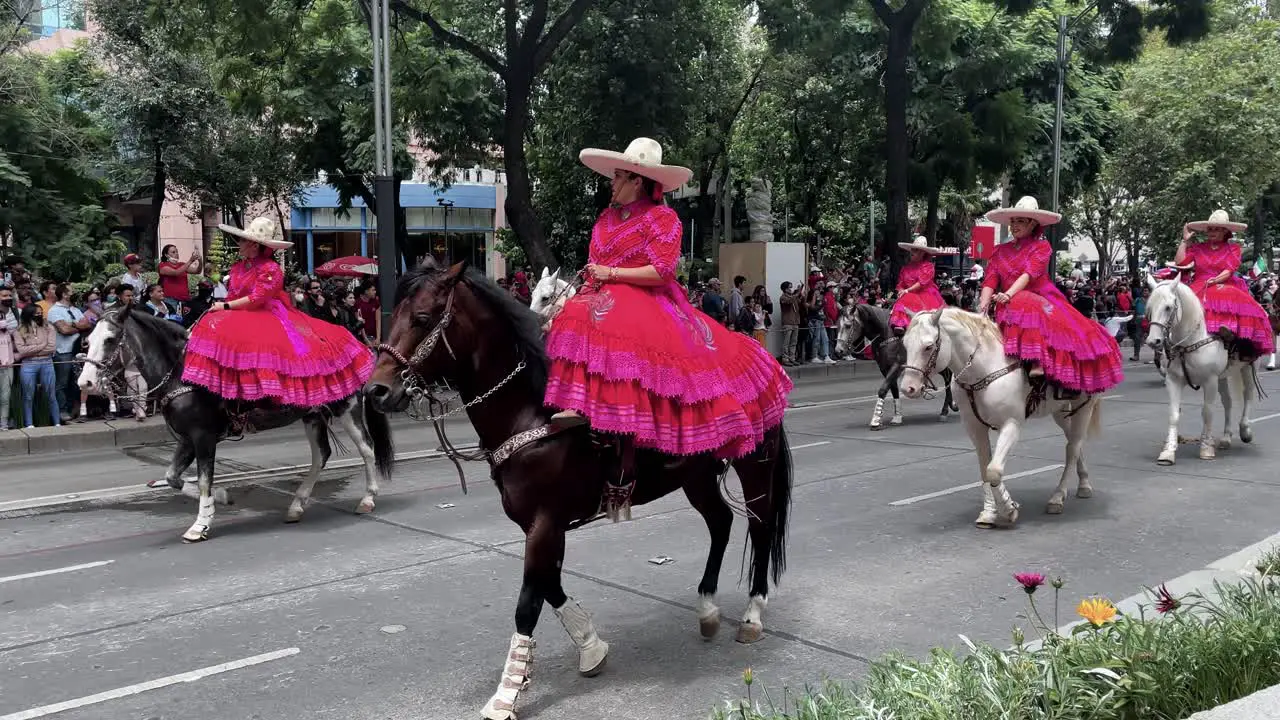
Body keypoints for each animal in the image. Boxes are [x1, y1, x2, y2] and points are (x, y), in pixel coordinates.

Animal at [366, 258, 793, 717]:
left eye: (422, 318)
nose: (376, 390)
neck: (534, 412)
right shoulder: (538, 525)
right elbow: (551, 587)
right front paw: (591, 647)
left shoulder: (546, 522)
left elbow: (528, 603)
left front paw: (506, 695)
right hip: (695, 477)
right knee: (721, 523)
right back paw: (708, 609)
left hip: (755, 466)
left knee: (760, 527)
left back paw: (751, 615)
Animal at [901, 304, 1100, 525]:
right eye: (905, 344)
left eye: (928, 347)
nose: (907, 388)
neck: (983, 370)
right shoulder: (974, 427)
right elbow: (985, 469)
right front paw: (989, 512)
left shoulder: (1011, 424)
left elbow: (994, 471)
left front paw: (1008, 508)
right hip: (1061, 411)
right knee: (1074, 442)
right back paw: (1084, 484)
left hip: (1084, 406)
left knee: (1072, 448)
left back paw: (1057, 497)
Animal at [1146, 271, 1254, 461]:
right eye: (1150, 308)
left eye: (1168, 307)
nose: (1154, 341)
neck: (1188, 343)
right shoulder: (1173, 380)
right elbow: (1174, 414)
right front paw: (1168, 452)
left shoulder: (1210, 381)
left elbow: (1207, 412)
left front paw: (1206, 447)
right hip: (1222, 376)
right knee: (1228, 402)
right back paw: (1226, 438)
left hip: (1246, 365)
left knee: (1248, 393)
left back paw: (1245, 430)